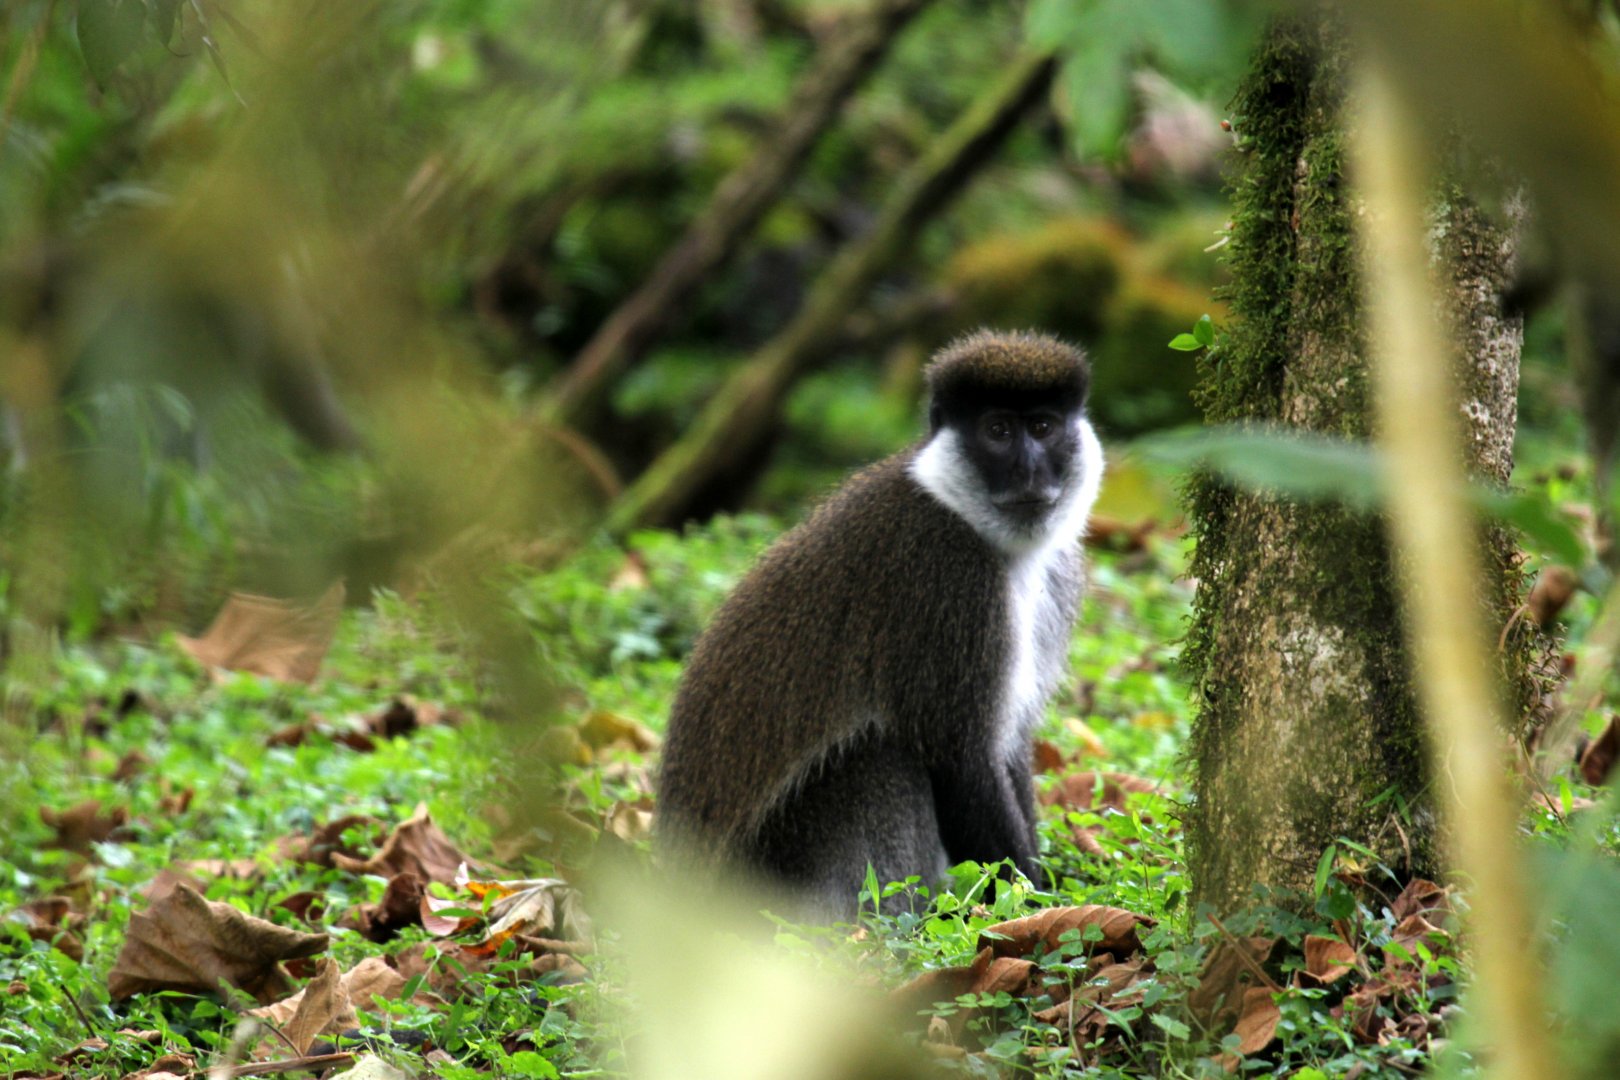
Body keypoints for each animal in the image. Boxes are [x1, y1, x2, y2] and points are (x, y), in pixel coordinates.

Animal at [655, 330, 1105, 918]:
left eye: (1044, 427)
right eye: (998, 431)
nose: (1030, 470)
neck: (966, 515)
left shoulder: (1058, 572)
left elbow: (1009, 744)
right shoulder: (948, 579)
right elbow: (960, 757)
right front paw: (1027, 906)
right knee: (883, 752)